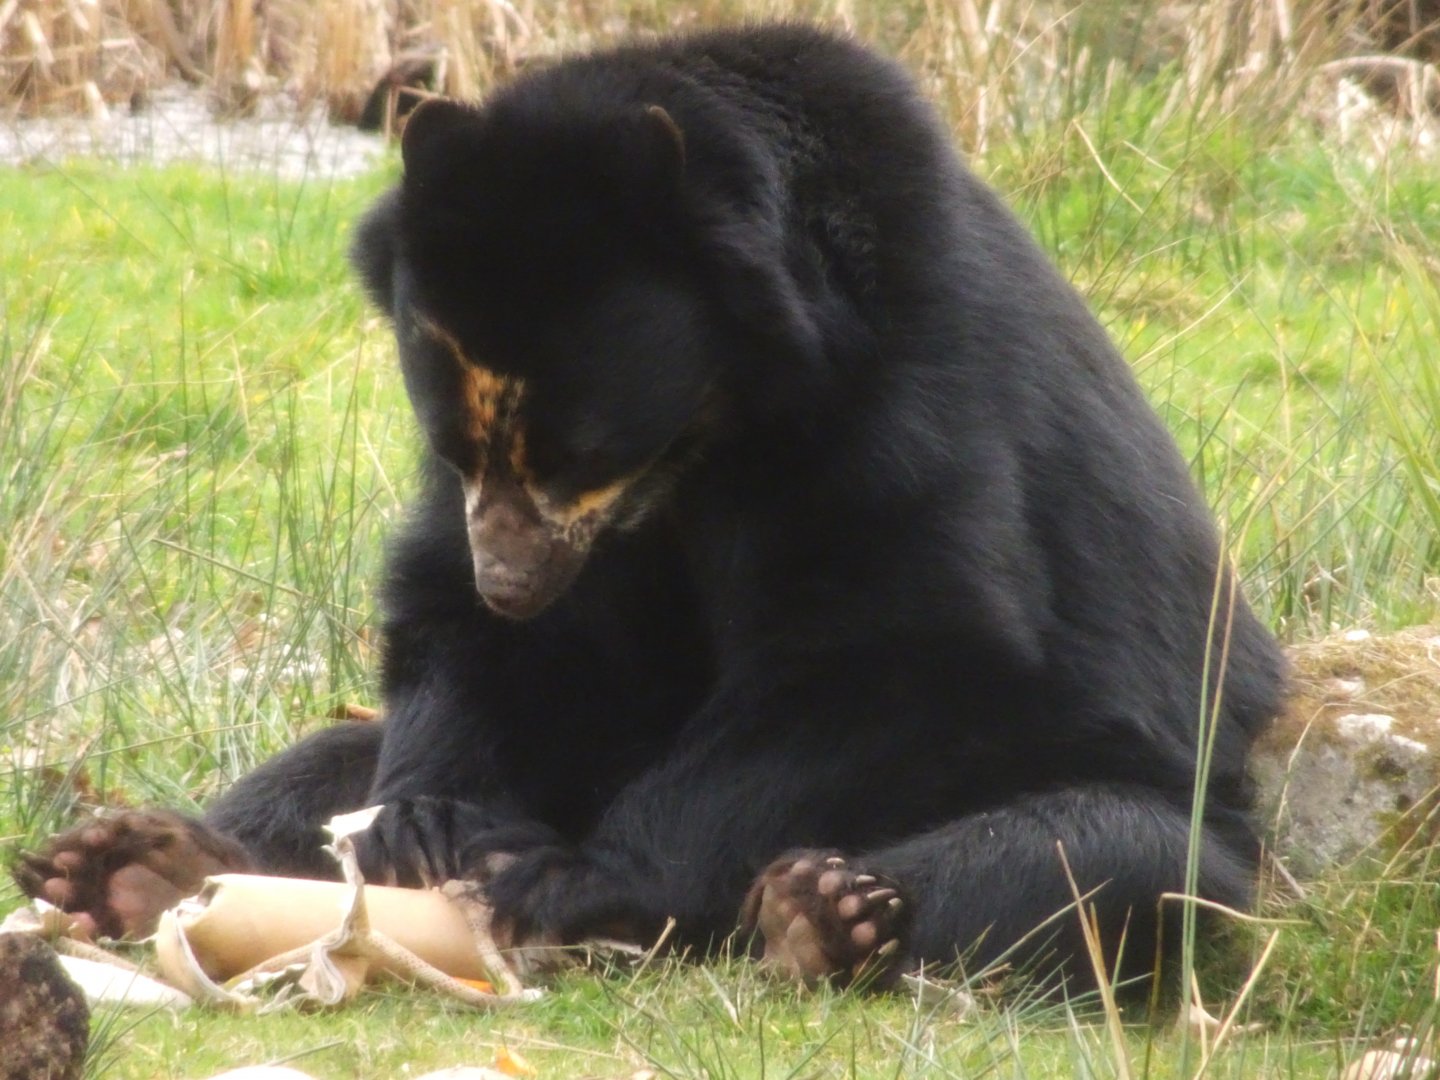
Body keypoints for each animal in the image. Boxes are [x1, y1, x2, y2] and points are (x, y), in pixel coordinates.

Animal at [15, 24, 1284, 992]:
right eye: (461, 450)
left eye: (582, 452)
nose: (513, 586)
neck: (710, 436)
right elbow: (447, 614)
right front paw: (436, 822)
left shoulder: (908, 395)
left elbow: (904, 643)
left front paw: (570, 879)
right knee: (325, 763)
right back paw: (143, 867)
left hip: (1178, 801)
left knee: (1100, 861)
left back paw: (827, 913)